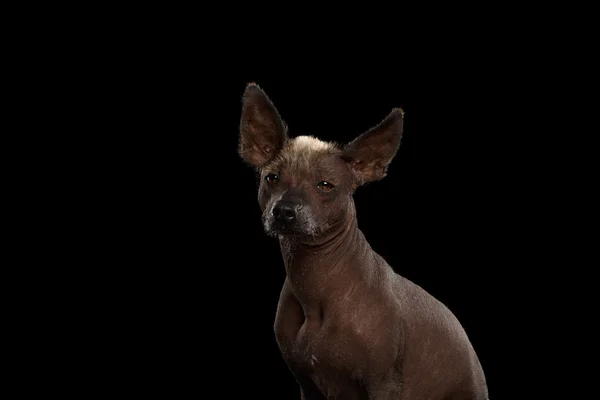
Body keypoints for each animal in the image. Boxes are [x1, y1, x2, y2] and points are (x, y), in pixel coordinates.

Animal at [238, 83, 488, 398]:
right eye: (272, 178)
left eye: (325, 185)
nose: (283, 211)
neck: (317, 284)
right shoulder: (306, 384)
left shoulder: (382, 383)